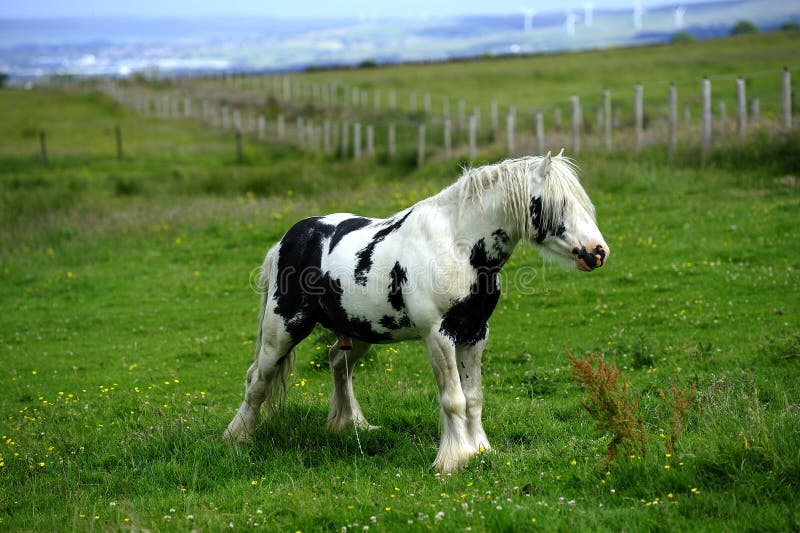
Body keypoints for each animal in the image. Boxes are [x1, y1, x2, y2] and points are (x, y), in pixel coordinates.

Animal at [223, 151, 609, 472]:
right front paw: (454, 460)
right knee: (257, 379)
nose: (597, 251)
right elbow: (453, 399)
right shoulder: (439, 335)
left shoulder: (475, 334)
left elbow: (473, 398)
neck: (458, 246)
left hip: (360, 333)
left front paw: (481, 450)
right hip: (283, 329)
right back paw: (238, 438)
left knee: (337, 363)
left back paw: (351, 424)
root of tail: (288, 240)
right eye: (558, 204)